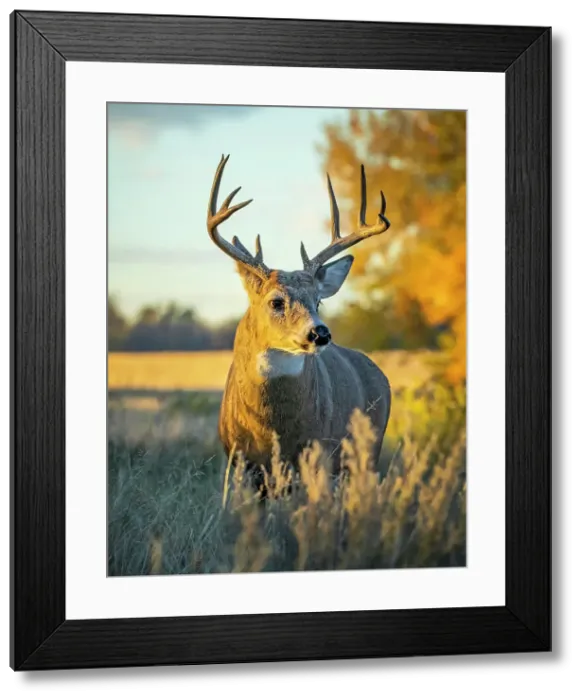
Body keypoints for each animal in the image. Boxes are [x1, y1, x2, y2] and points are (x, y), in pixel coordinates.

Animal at [205, 154, 392, 493]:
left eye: (318, 301)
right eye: (276, 301)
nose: (320, 333)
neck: (271, 429)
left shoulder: (318, 453)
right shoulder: (240, 461)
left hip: (366, 450)